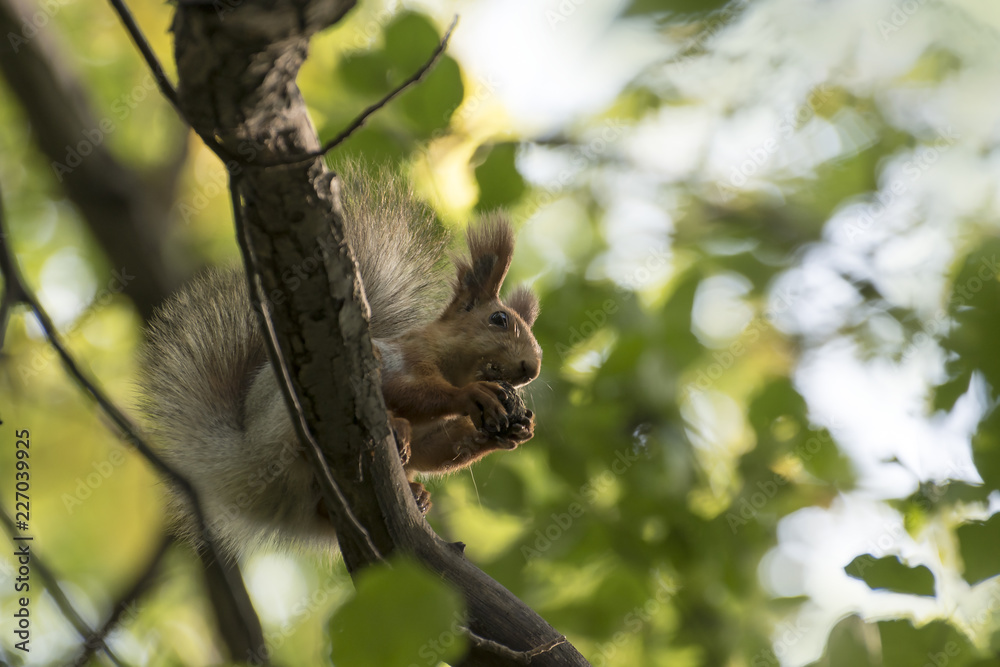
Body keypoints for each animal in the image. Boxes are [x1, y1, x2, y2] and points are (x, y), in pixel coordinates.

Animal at [137, 164, 544, 556]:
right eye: (499, 319)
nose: (532, 369)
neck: (452, 365)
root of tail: (244, 457)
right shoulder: (404, 358)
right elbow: (410, 390)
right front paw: (474, 395)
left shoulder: (432, 431)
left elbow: (435, 450)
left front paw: (515, 429)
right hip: (286, 417)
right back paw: (395, 429)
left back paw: (415, 491)